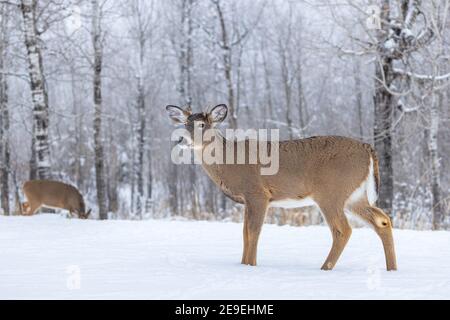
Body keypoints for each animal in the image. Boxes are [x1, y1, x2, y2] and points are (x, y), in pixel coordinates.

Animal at [166, 104, 398, 270]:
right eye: (185, 122)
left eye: (202, 125)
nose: (181, 139)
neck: (229, 163)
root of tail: (368, 149)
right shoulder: (248, 200)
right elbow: (244, 232)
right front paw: (243, 265)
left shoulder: (258, 193)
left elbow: (253, 231)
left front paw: (250, 266)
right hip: (354, 195)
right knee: (382, 220)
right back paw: (392, 269)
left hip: (331, 192)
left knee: (343, 229)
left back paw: (324, 268)